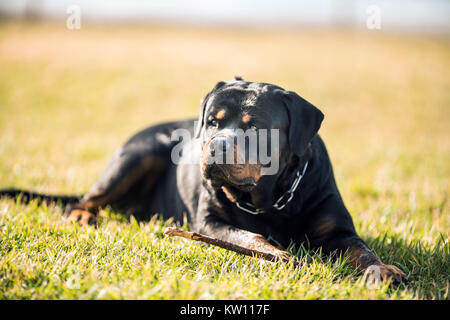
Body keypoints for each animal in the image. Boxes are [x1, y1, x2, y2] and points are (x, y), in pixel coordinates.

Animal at [0, 77, 408, 284]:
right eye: (213, 121)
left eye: (255, 128)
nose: (216, 146)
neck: (270, 199)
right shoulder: (210, 221)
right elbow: (249, 236)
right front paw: (278, 254)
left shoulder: (335, 227)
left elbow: (360, 249)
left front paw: (382, 269)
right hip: (139, 152)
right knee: (85, 199)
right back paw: (83, 215)